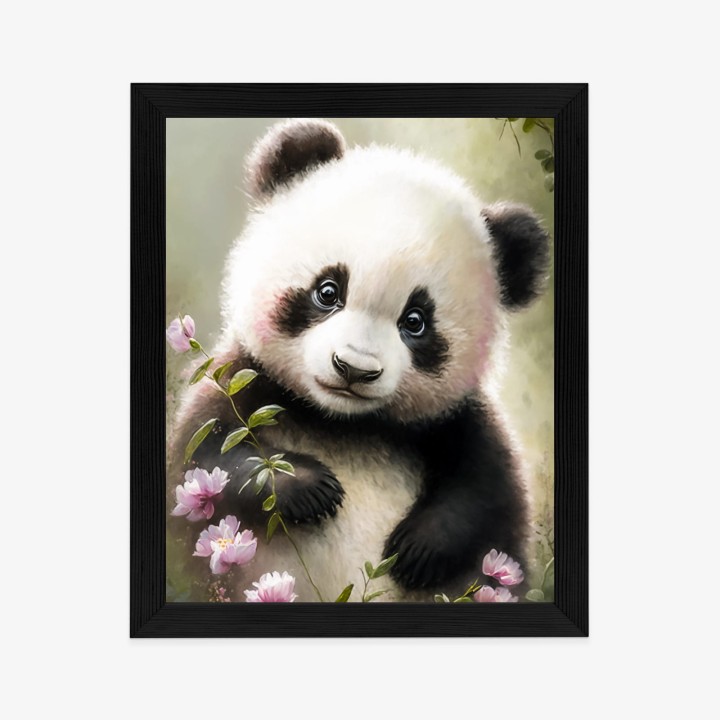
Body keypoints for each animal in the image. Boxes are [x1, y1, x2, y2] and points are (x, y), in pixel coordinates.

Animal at [170, 118, 550, 602]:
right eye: (328, 290)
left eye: (415, 321)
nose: (353, 368)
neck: (344, 424)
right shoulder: (243, 383)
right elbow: (206, 458)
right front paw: (310, 487)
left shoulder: (457, 422)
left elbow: (486, 493)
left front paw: (418, 548)